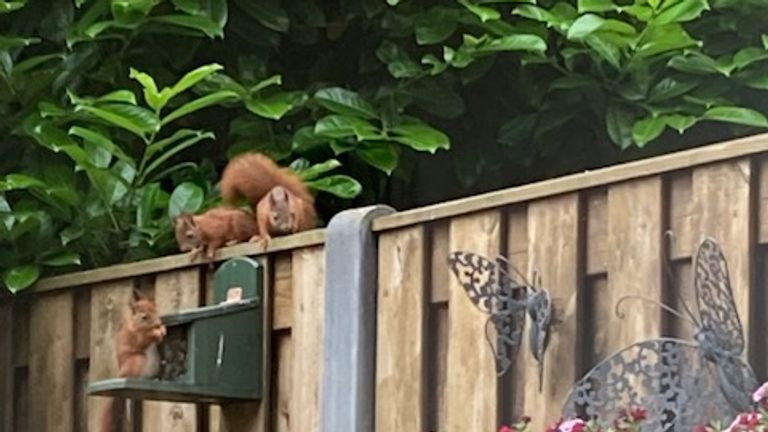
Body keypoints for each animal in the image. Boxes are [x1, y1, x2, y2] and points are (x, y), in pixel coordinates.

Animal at [100, 288, 166, 432]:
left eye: (156, 310)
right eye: (144, 317)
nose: (158, 324)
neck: (135, 325)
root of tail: (120, 375)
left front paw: (163, 330)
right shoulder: (135, 338)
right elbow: (144, 340)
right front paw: (155, 333)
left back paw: (154, 379)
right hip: (137, 361)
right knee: (133, 376)